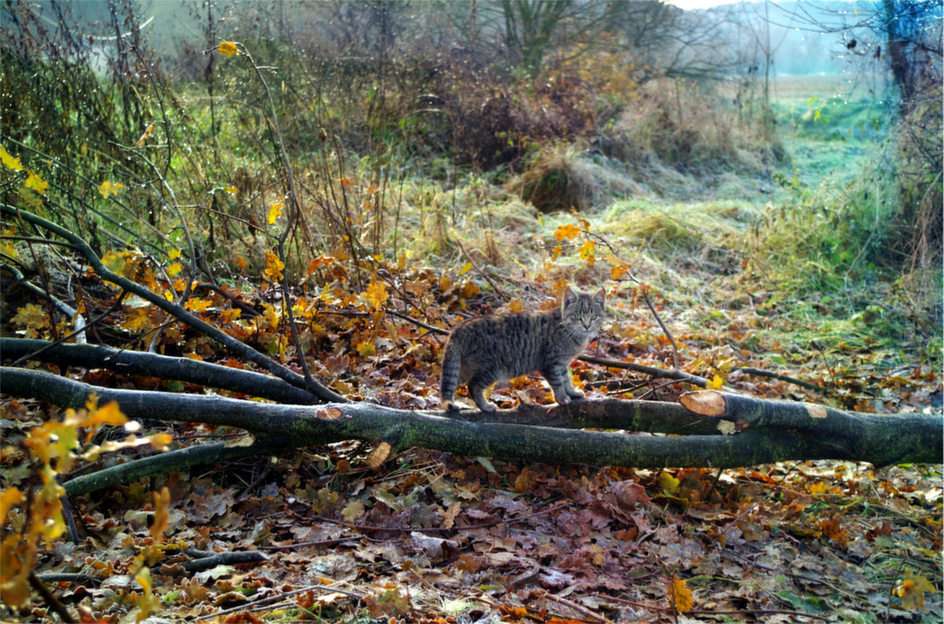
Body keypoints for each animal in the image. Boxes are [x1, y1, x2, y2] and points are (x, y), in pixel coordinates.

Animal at [440, 288, 604, 414]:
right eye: (577, 317)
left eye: (594, 317)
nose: (587, 325)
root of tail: (459, 328)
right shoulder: (551, 363)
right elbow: (558, 382)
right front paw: (562, 397)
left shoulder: (562, 363)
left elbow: (566, 379)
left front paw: (572, 392)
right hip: (492, 369)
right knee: (473, 386)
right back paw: (485, 406)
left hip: (463, 368)